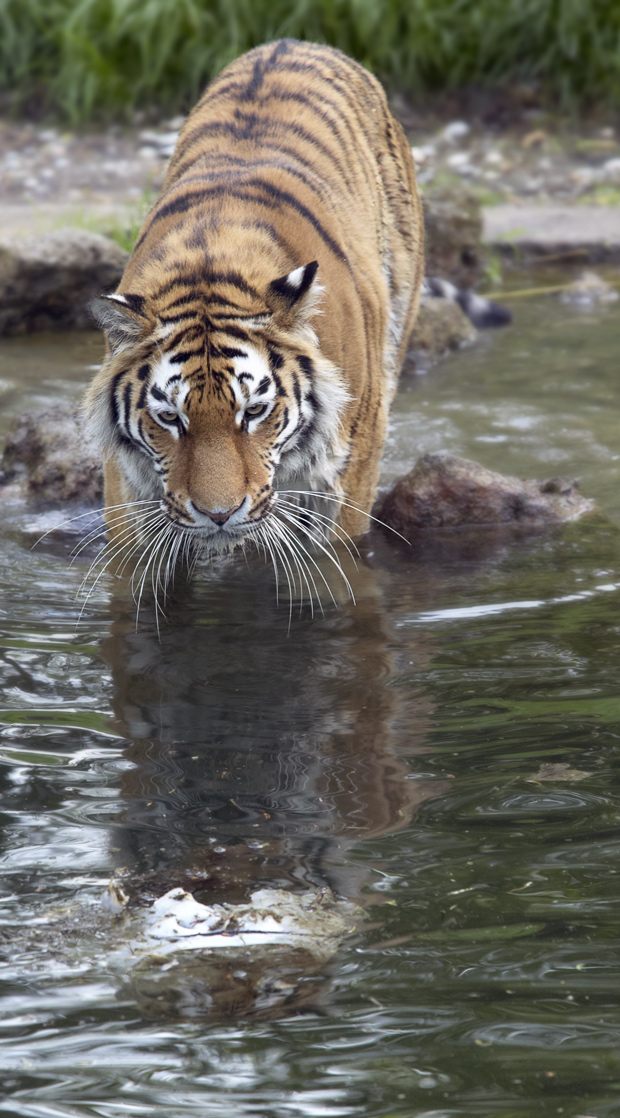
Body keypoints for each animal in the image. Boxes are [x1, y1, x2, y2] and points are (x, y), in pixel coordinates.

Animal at [84, 34, 424, 585]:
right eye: (169, 418)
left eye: (255, 412)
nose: (218, 515)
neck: (209, 264)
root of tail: (294, 42)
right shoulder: (128, 488)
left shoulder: (350, 466)